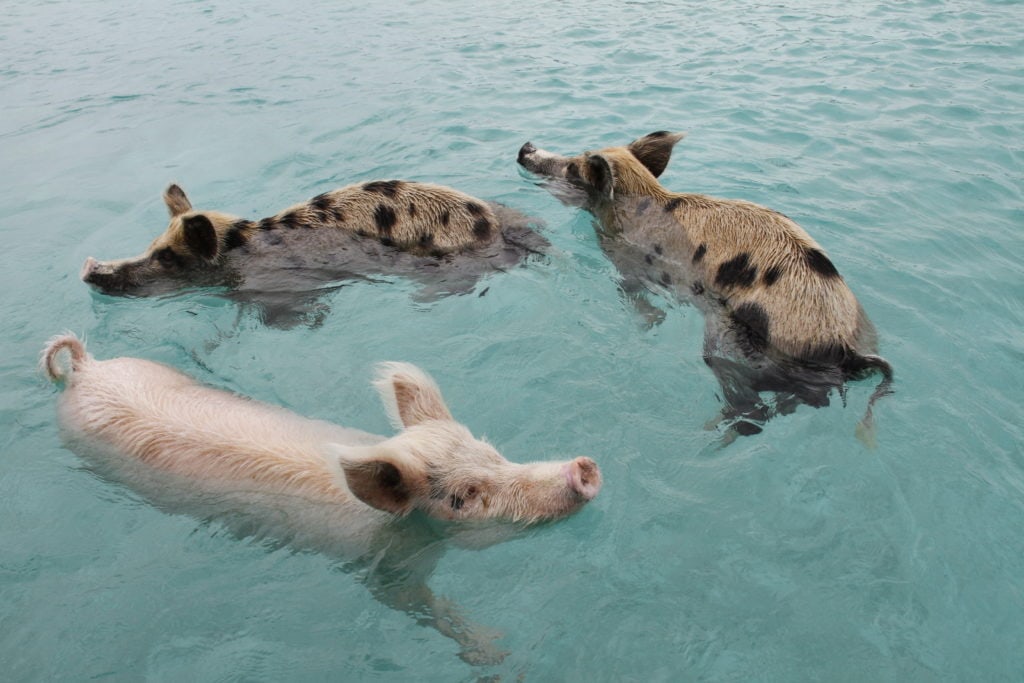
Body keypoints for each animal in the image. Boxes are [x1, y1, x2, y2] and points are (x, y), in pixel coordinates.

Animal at [39, 333, 598, 663]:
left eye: (492, 451)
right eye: (464, 497)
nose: (583, 469)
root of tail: (86, 369)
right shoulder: (388, 573)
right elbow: (420, 608)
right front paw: (496, 653)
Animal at [516, 132, 892, 444]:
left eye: (572, 167)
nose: (526, 147)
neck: (639, 201)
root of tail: (847, 348)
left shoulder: (629, 265)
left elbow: (636, 298)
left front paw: (646, 324)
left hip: (738, 342)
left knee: (754, 407)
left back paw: (710, 434)